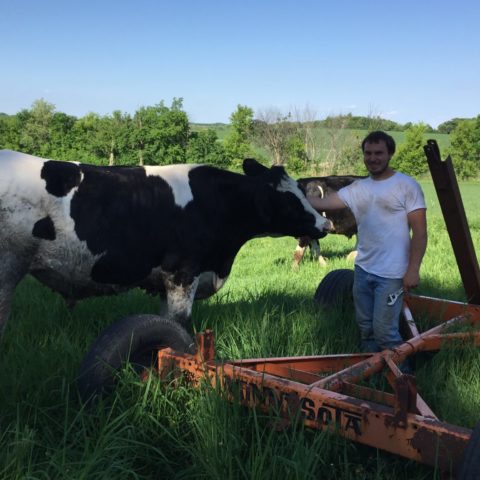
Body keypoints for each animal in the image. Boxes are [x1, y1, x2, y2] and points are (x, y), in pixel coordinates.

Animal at [0, 151, 332, 338]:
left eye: (301, 191)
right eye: (289, 201)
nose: (324, 224)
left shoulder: (166, 283)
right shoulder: (182, 274)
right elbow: (181, 324)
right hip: (7, 270)